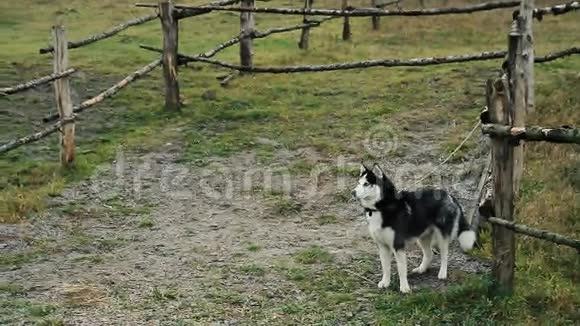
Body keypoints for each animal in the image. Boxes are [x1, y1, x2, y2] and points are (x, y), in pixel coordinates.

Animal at [352, 163, 474, 292]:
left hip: (442, 237)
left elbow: (401, 269)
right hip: (422, 237)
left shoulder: (398, 245)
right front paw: (385, 282)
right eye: (358, 183)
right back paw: (421, 269)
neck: (381, 207)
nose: (352, 192)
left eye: (366, 184)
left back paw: (442, 273)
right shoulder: (382, 246)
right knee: (429, 254)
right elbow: (385, 267)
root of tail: (449, 195)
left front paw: (404, 287)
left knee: (445, 254)